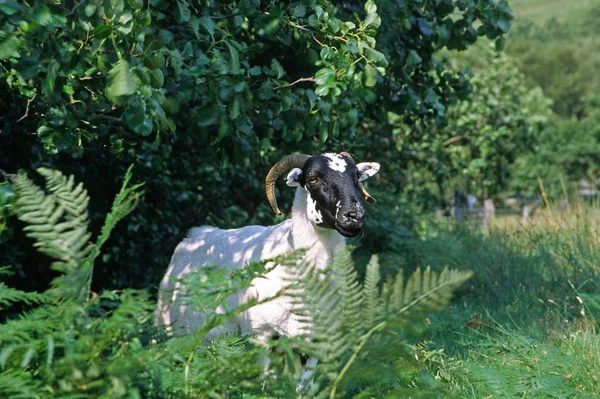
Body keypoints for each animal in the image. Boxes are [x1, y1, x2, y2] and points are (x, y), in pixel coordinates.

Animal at [155, 153, 380, 384]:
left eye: (356, 177)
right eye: (313, 179)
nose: (354, 216)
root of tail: (195, 234)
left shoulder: (317, 342)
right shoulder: (262, 336)